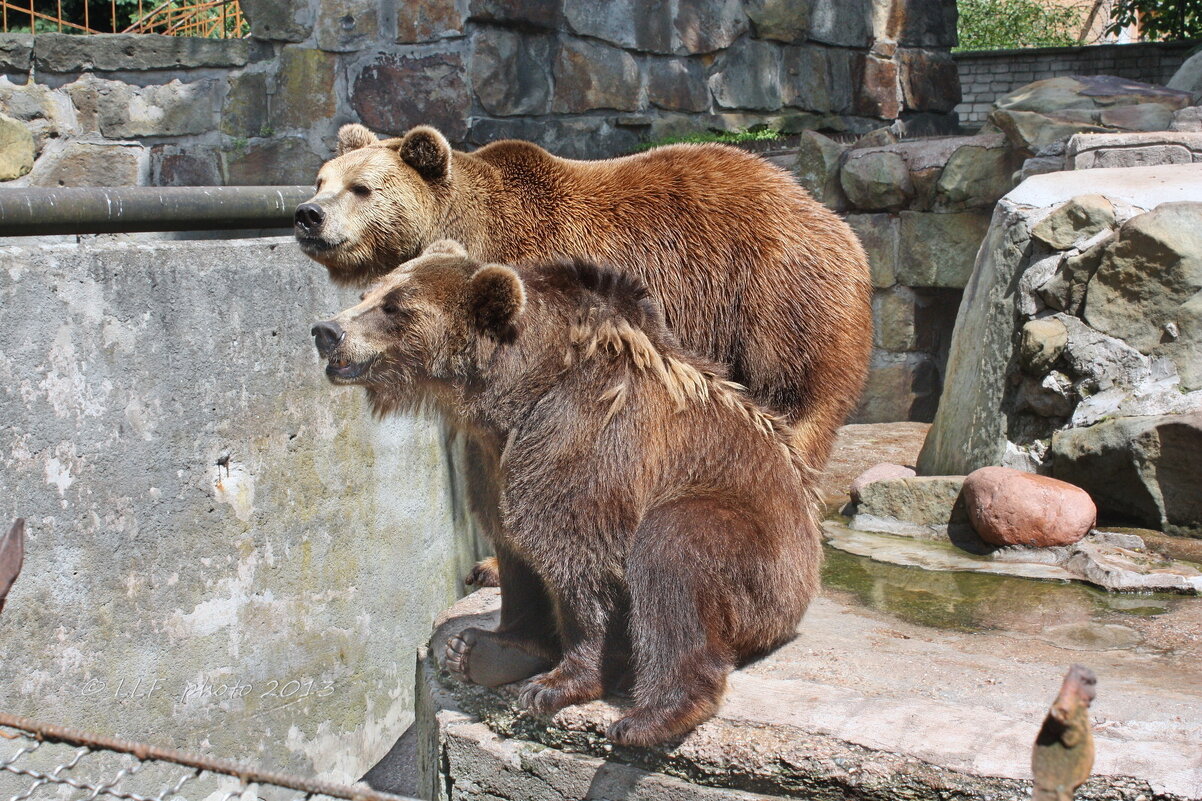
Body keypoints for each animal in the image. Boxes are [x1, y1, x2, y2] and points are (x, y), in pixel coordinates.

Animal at [310, 240, 822, 745]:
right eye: (369, 294)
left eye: (394, 307)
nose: (326, 330)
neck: (512, 394)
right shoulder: (491, 459)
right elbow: (513, 544)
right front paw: (488, 648)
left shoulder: (586, 431)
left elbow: (581, 553)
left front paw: (556, 684)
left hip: (762, 560)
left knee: (674, 548)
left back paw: (652, 715)